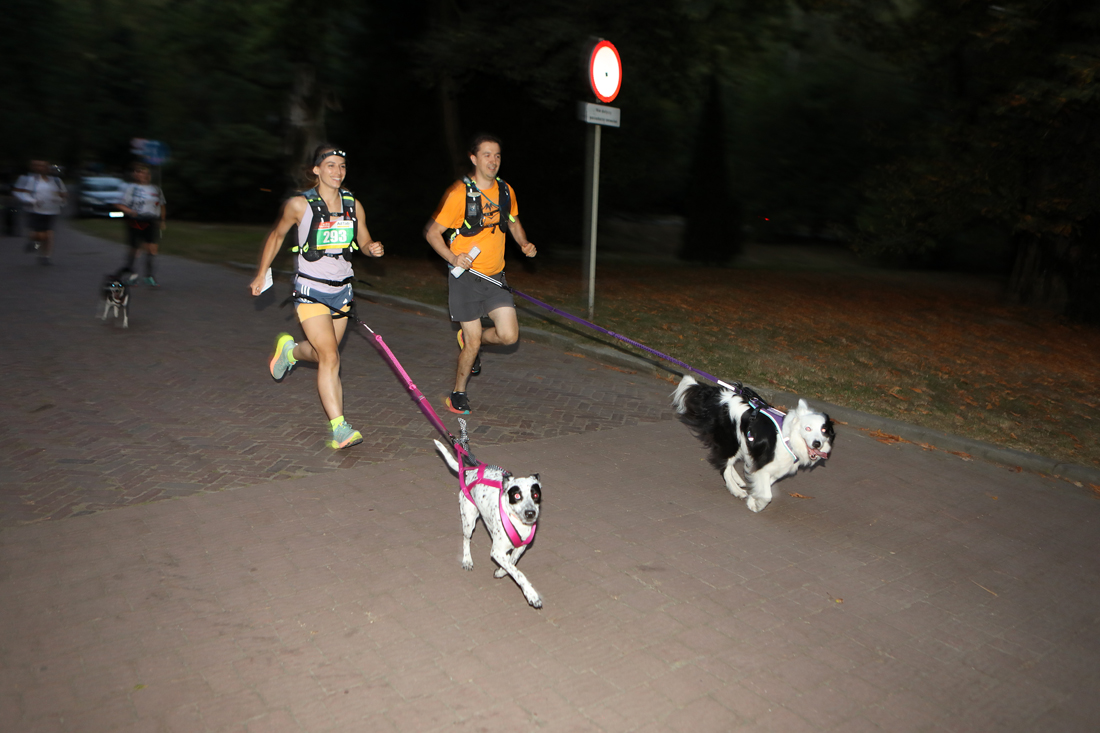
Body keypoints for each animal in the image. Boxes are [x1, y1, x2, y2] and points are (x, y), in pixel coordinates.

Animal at [433, 439, 543, 608]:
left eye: (536, 495)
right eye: (517, 495)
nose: (530, 513)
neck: (518, 523)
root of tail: (471, 472)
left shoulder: (520, 547)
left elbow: (512, 563)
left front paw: (501, 571)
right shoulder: (497, 551)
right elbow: (518, 573)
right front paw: (531, 594)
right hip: (469, 520)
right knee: (466, 540)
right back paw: (467, 560)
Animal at [672, 375, 834, 512]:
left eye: (824, 430)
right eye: (808, 428)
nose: (817, 443)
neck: (789, 438)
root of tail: (720, 395)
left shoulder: (773, 468)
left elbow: (763, 486)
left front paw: (753, 498)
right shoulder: (763, 465)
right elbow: (767, 495)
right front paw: (755, 505)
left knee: (728, 462)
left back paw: (738, 481)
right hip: (731, 441)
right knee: (724, 465)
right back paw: (736, 489)